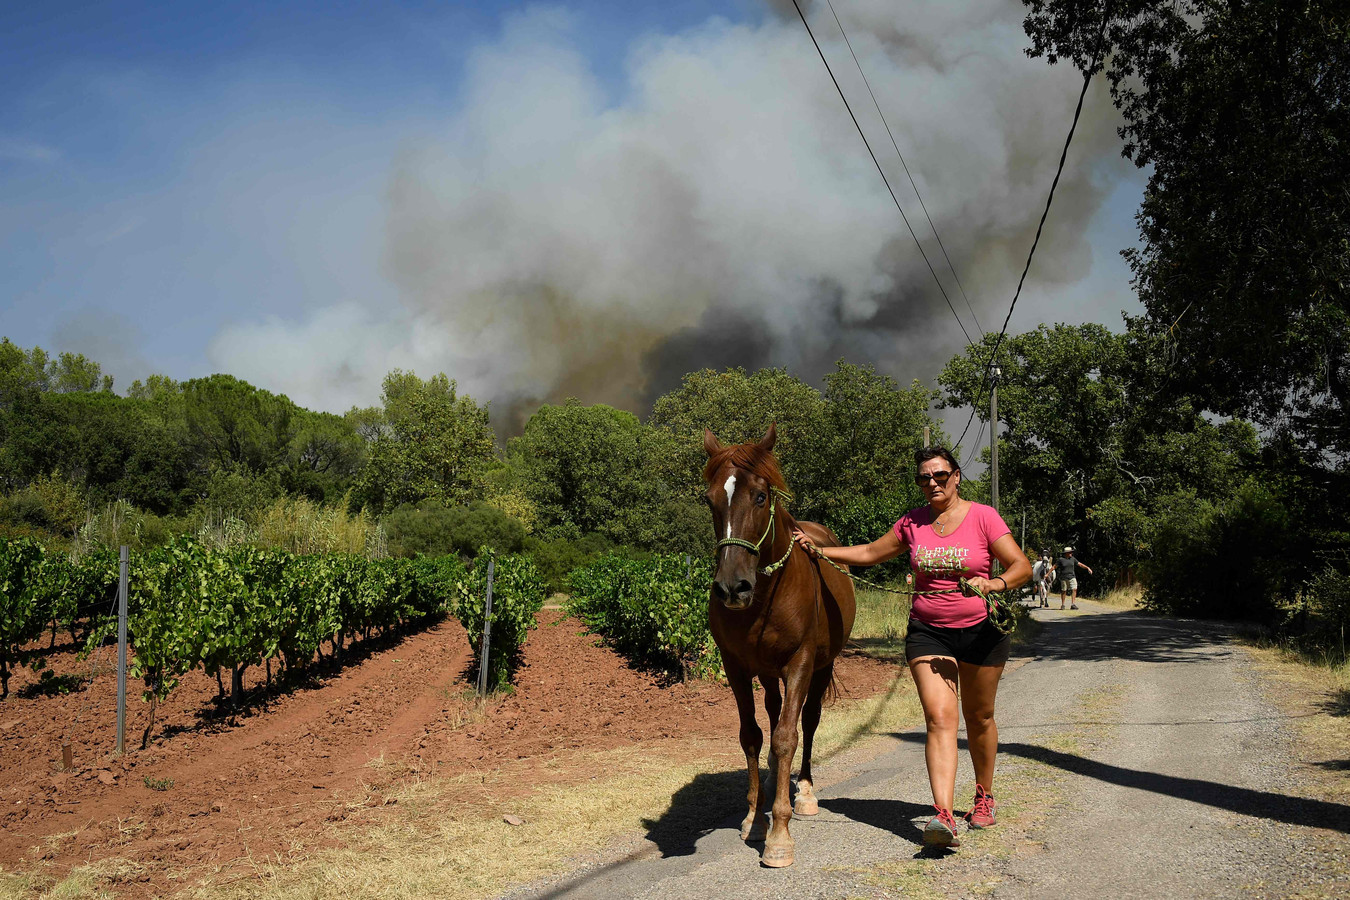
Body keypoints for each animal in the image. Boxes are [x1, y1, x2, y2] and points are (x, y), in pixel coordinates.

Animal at [702, 426, 858, 868]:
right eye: (709, 499)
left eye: (760, 496)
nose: (732, 588)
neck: (765, 595)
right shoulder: (736, 667)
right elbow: (752, 736)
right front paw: (756, 817)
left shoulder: (800, 664)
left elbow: (789, 735)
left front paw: (779, 835)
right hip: (768, 673)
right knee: (772, 714)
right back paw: (775, 778)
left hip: (820, 668)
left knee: (808, 721)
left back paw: (803, 791)